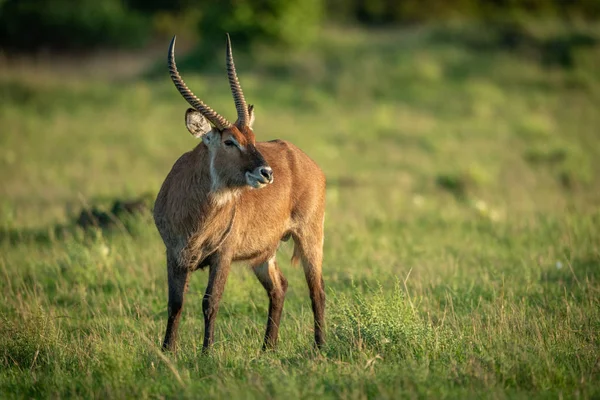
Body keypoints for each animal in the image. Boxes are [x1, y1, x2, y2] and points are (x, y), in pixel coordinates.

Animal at [152, 36, 326, 352]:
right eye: (229, 141)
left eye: (253, 138)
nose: (266, 173)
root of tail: (302, 157)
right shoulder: (173, 255)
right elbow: (175, 304)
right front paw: (166, 351)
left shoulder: (222, 255)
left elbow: (210, 302)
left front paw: (206, 353)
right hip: (263, 254)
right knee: (280, 287)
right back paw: (267, 348)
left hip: (309, 236)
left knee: (316, 290)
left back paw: (319, 348)